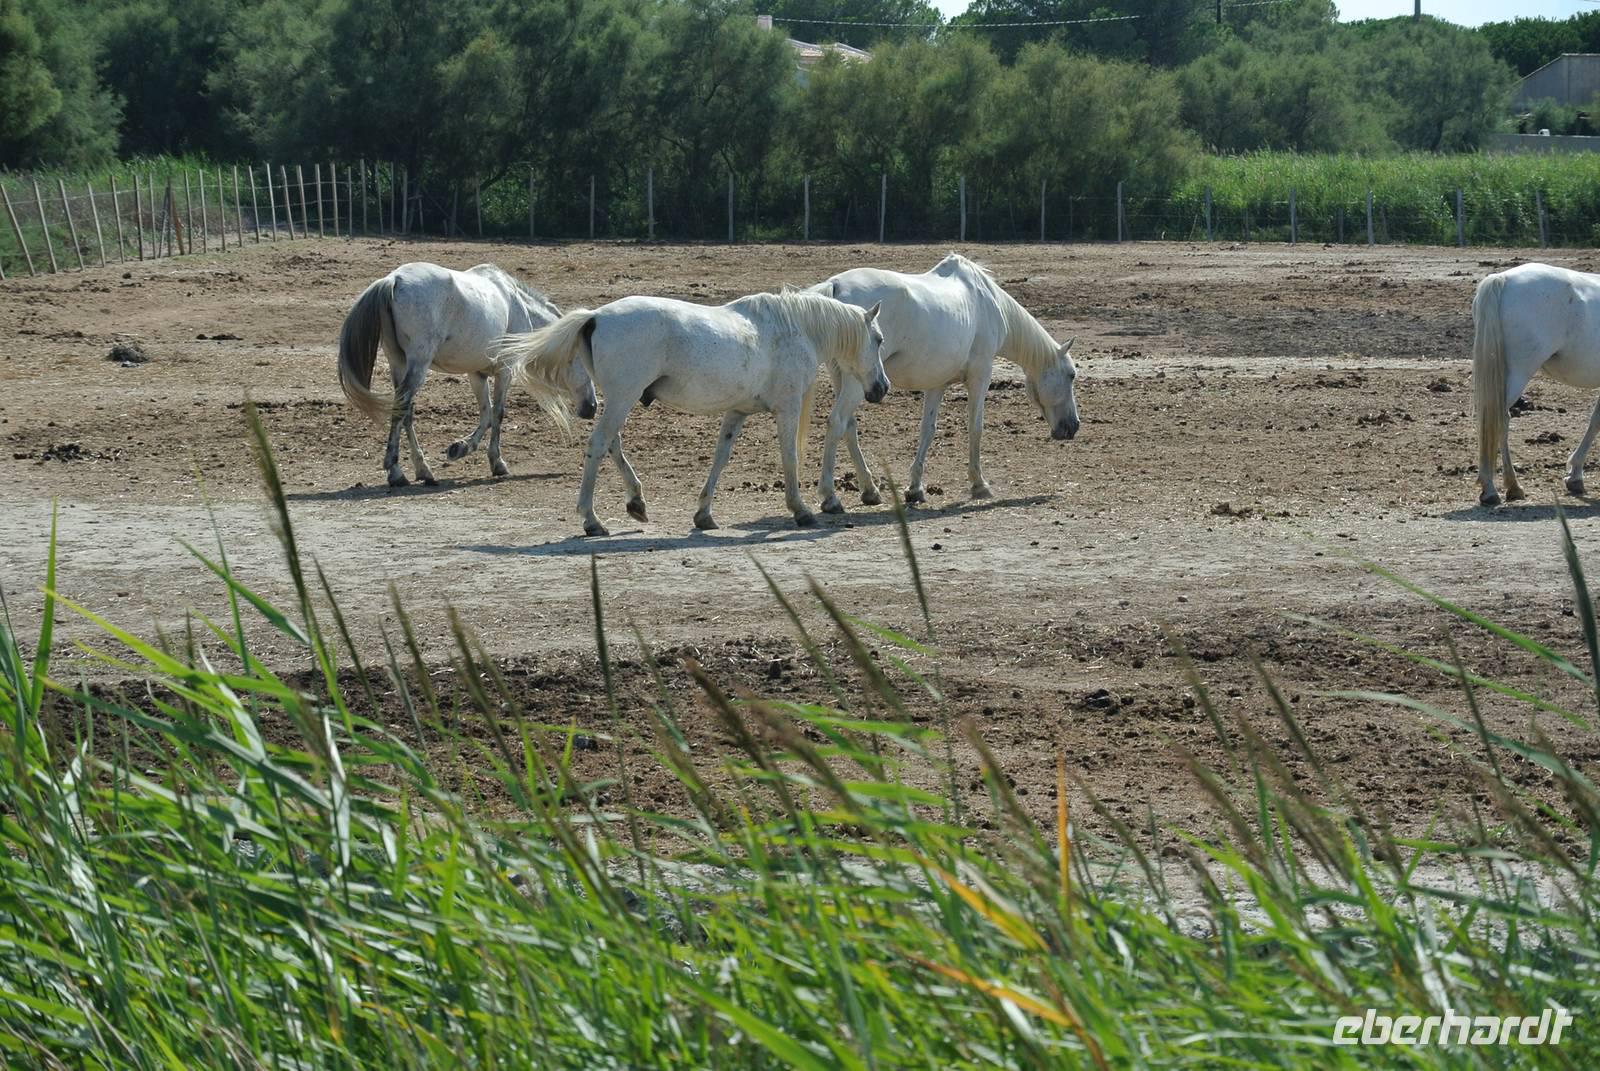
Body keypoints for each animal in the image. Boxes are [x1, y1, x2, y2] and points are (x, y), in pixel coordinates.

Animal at [336, 262, 596, 487]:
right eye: (585, 362)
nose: (592, 407)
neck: (519, 305)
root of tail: (394, 280)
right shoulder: (505, 370)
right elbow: (498, 413)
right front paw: (497, 462)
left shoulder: (477, 374)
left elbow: (486, 414)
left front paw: (460, 448)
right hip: (418, 365)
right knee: (402, 408)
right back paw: (396, 472)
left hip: (398, 364)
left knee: (405, 412)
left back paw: (423, 470)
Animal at [499, 289, 889, 537]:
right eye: (879, 339)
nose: (881, 388)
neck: (794, 329)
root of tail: (594, 316)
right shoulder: (787, 409)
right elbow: (789, 457)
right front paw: (802, 510)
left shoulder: (737, 411)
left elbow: (720, 457)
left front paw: (704, 514)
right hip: (623, 397)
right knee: (598, 445)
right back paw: (591, 519)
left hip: (619, 399)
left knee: (612, 444)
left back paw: (636, 502)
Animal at [808, 253, 1079, 514]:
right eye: (1071, 375)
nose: (1073, 426)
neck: (988, 302)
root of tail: (835, 285)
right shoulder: (981, 375)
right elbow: (975, 427)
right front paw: (979, 485)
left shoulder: (936, 384)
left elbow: (927, 430)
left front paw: (915, 489)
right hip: (856, 384)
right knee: (836, 422)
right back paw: (830, 498)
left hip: (846, 380)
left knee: (849, 427)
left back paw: (870, 491)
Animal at [1473, 262, 1600, 506]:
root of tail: (1502, 278)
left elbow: (1594, 421)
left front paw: (1575, 476)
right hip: (1518, 374)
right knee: (1498, 419)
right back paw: (1498, 488)